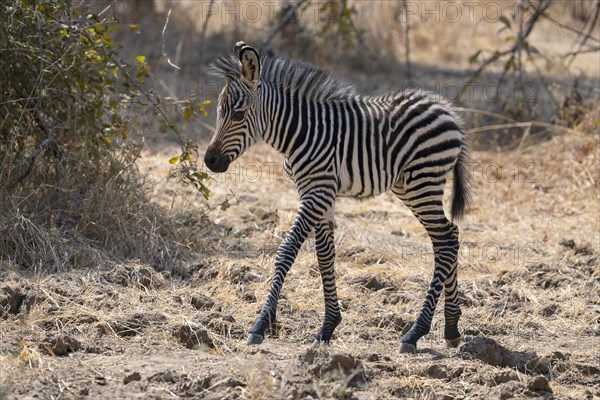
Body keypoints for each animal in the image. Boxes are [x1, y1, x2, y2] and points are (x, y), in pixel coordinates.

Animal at [204, 41, 472, 354]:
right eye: (219, 112)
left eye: (237, 114)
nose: (210, 161)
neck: (299, 133)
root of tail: (447, 109)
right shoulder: (321, 194)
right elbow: (324, 256)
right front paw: (328, 326)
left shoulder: (316, 193)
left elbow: (286, 252)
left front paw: (260, 325)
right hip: (411, 187)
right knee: (450, 237)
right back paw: (451, 327)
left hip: (423, 184)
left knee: (445, 242)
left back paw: (415, 332)